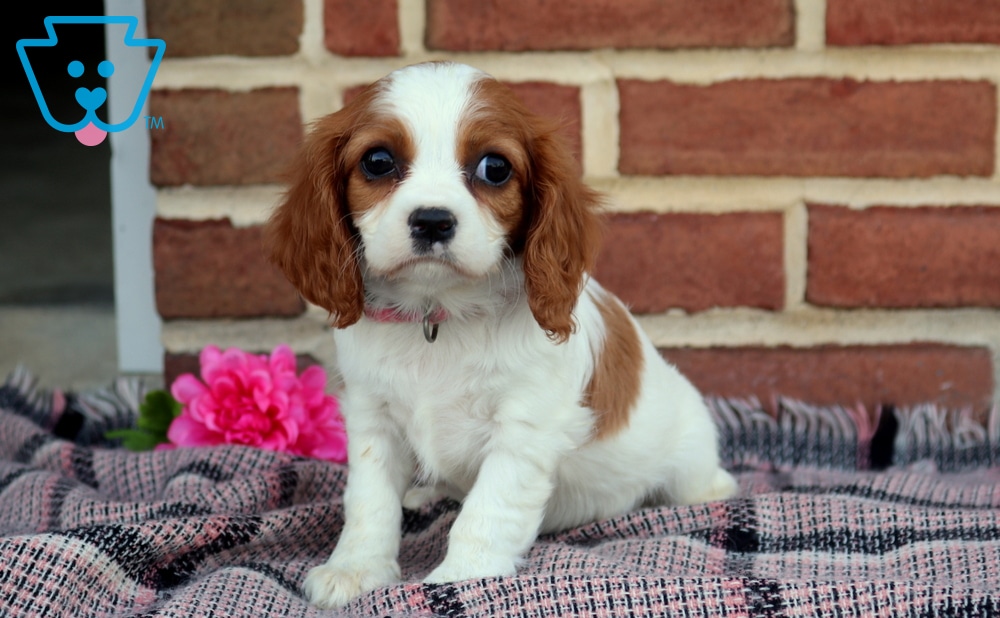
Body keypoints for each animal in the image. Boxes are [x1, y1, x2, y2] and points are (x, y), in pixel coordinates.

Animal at [265, 61, 737, 609]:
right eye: (378, 161)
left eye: (495, 168)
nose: (432, 220)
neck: (438, 314)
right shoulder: (371, 419)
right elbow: (369, 501)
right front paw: (356, 569)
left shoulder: (524, 429)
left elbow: (487, 511)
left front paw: (463, 579)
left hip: (687, 460)